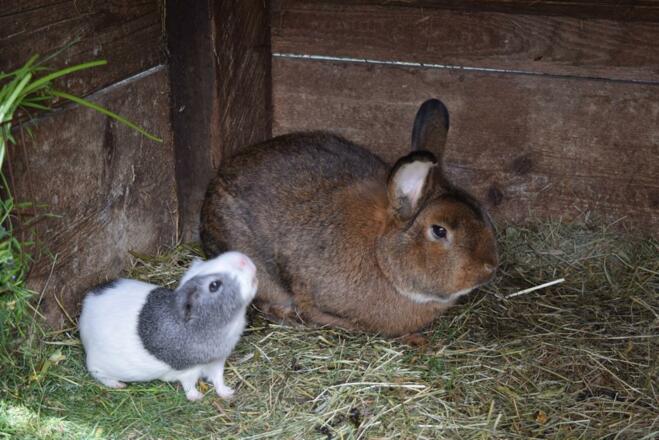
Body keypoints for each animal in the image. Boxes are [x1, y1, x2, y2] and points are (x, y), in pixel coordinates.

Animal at [78, 251, 257, 401]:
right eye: (214, 285)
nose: (243, 258)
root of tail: (85, 312)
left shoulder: (218, 361)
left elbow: (218, 380)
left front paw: (228, 393)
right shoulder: (188, 371)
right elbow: (189, 386)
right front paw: (197, 397)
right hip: (97, 366)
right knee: (99, 375)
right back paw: (119, 385)